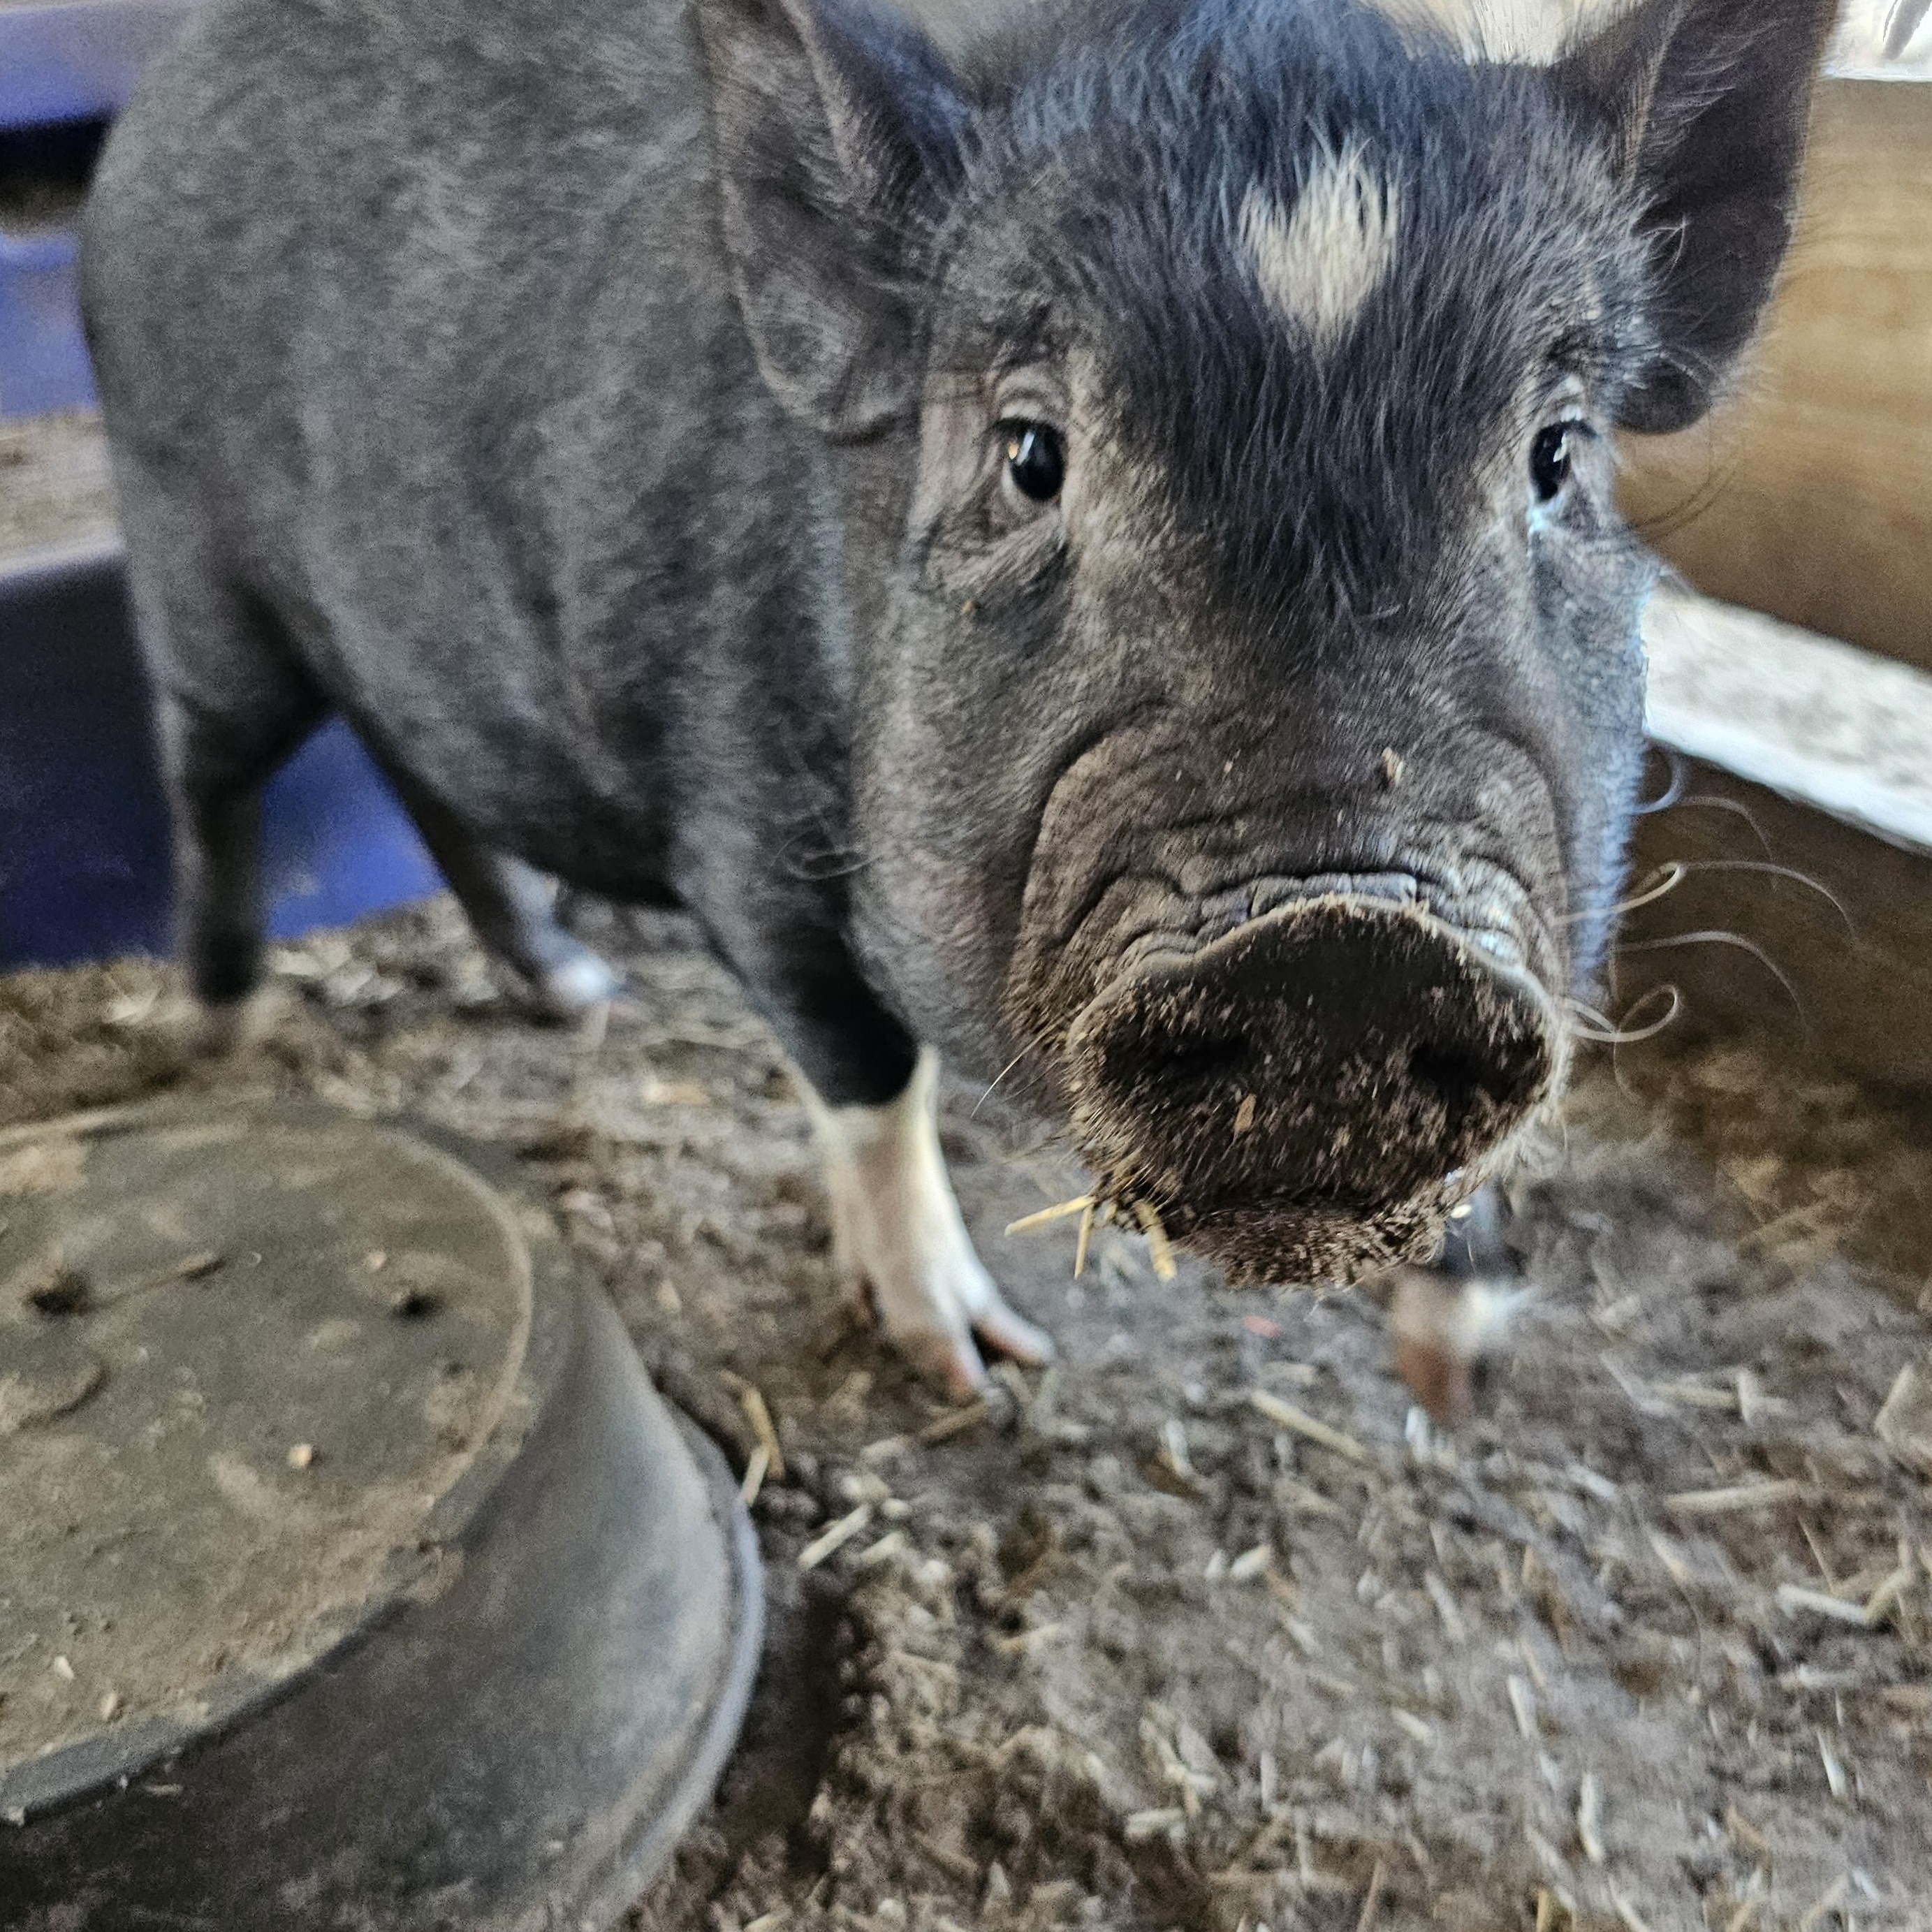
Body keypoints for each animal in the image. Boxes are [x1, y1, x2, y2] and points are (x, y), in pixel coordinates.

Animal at [81, 0, 1835, 1396]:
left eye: (1556, 457)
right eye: (1030, 453)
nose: (1343, 943)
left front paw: (1456, 1374)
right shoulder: (745, 840)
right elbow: (867, 1072)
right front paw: (976, 1368)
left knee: (422, 774)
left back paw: (576, 993)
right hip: (188, 548)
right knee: (208, 771)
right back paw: (224, 1033)